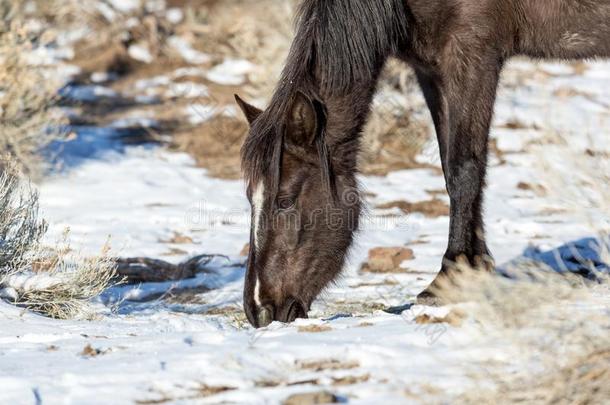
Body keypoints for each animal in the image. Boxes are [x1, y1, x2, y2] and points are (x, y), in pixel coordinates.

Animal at [233, 0, 608, 326]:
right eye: (250, 198)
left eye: (285, 200)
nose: (259, 310)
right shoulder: (430, 68)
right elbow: (450, 166)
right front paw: (473, 270)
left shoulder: (471, 54)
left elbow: (463, 168)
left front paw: (448, 277)